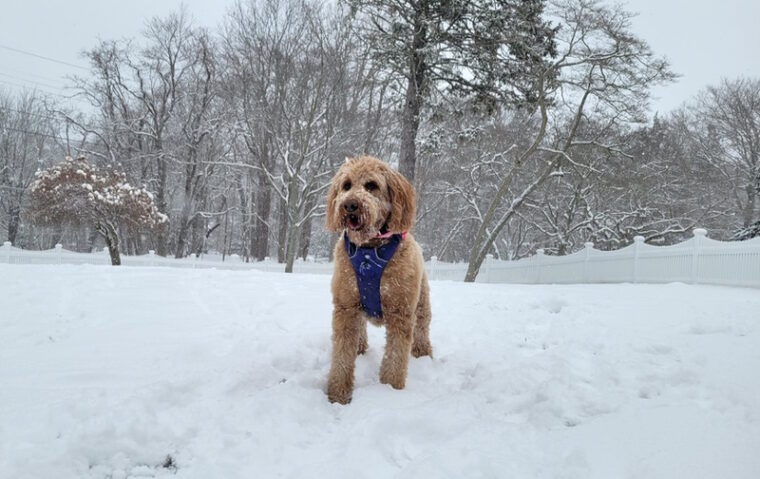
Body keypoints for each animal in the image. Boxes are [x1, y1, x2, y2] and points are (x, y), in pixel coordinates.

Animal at [326, 156, 434, 404]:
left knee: (422, 328)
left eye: (371, 185)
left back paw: (423, 354)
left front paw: (390, 392)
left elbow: (395, 358)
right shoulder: (345, 307)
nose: (350, 205)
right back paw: (360, 347)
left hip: (421, 303)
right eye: (346, 185)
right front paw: (337, 395)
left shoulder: (400, 312)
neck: (368, 251)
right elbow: (341, 357)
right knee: (361, 328)